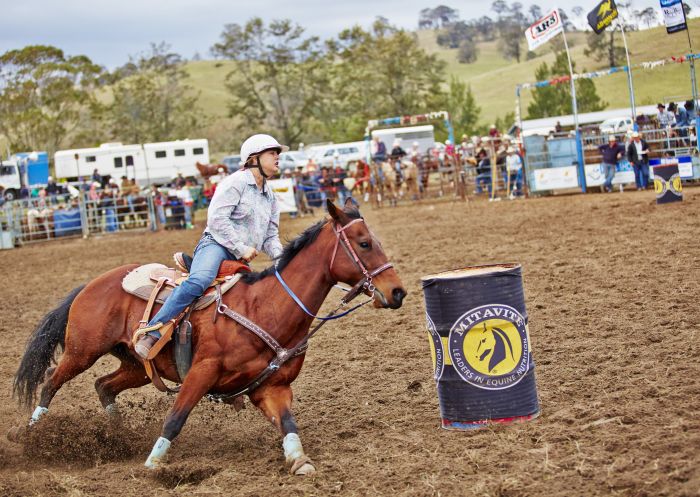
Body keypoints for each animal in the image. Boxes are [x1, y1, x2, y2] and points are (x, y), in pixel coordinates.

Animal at [12, 200, 404, 474]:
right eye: (364, 243)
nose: (397, 291)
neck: (265, 306)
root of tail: (91, 284)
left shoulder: (272, 387)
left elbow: (288, 424)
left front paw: (299, 460)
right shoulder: (202, 372)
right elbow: (176, 418)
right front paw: (153, 464)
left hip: (138, 367)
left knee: (103, 385)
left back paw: (116, 435)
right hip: (82, 351)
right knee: (51, 383)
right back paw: (31, 436)